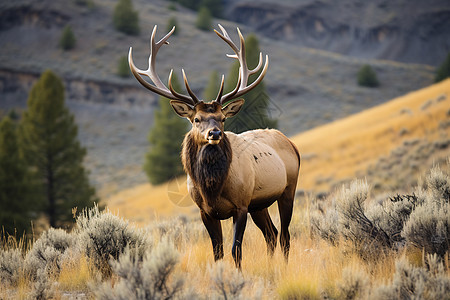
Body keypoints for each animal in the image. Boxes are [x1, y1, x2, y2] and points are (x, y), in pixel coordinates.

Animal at [128, 24, 300, 268]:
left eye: (222, 118)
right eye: (196, 119)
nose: (215, 133)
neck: (212, 188)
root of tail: (291, 143)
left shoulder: (241, 205)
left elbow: (235, 250)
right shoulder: (205, 211)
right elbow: (217, 251)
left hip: (287, 189)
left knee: (285, 235)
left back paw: (283, 267)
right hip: (259, 204)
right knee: (271, 233)